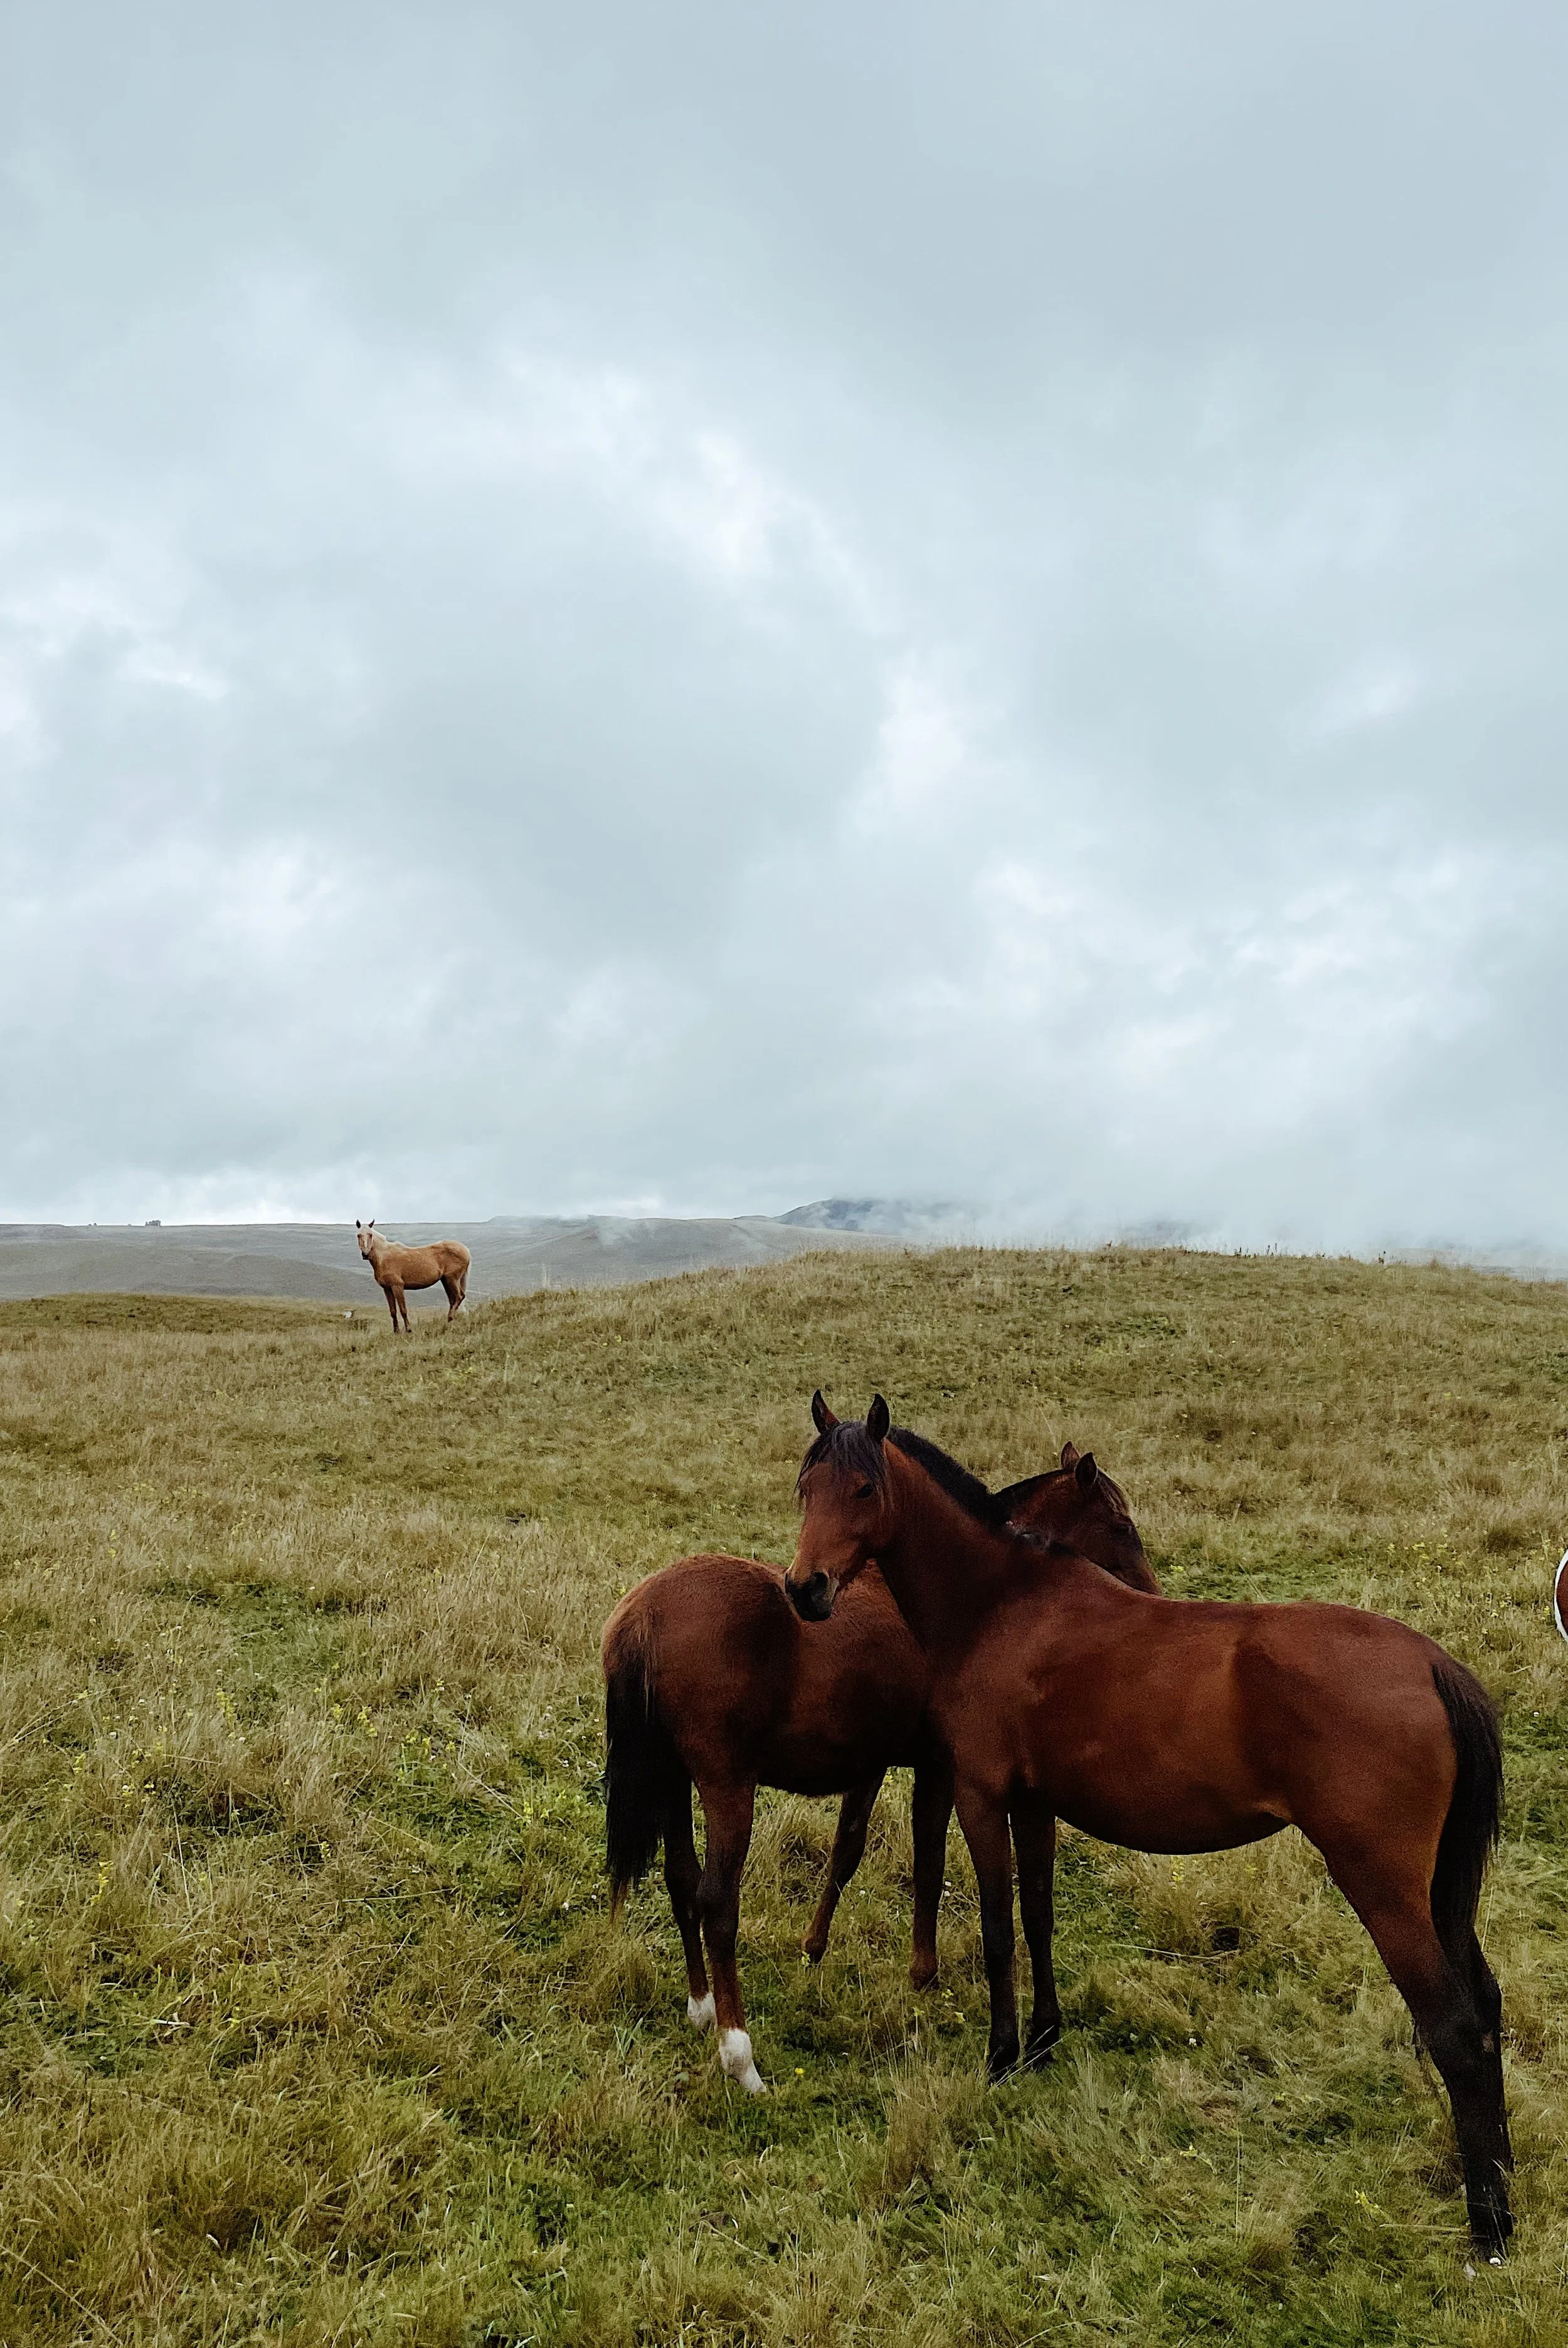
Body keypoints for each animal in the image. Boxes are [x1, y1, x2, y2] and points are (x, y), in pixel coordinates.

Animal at [355, 1219, 470, 1333]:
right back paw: (449, 1322)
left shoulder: (397, 1287)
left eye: (370, 1234)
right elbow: (393, 1311)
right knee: (453, 1300)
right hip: (446, 1281)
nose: (365, 1254)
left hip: (452, 1279)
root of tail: (465, 1250)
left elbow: (403, 1309)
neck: (384, 1257)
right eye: (359, 1235)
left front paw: (409, 1330)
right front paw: (396, 1331)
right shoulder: (387, 1289)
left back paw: (450, 1318)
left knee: (460, 1297)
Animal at [602, 1443, 1159, 2094]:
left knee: (682, 1881)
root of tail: (646, 1612)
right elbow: (928, 1861)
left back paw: (703, 2008)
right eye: (1120, 1525)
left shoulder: (869, 1762)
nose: (1150, 1594)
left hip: (676, 1780)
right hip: (726, 1788)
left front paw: (815, 1946)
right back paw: (739, 2055)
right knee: (717, 1903)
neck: (960, 1597)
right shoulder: (940, 1768)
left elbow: (847, 1849)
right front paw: (923, 1972)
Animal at [784, 1395, 1512, 2259]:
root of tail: (1433, 1665)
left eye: (864, 1489)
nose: (805, 1590)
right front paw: (1043, 2041)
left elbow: (997, 1929)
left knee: (1455, 2029)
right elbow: (1038, 1917)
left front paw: (1000, 2058)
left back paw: (1488, 2225)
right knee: (1486, 2011)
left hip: (1385, 1890)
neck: (1000, 1606)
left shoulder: (980, 1796)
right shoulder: (1034, 1804)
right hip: (1440, 1895)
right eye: (805, 1488)